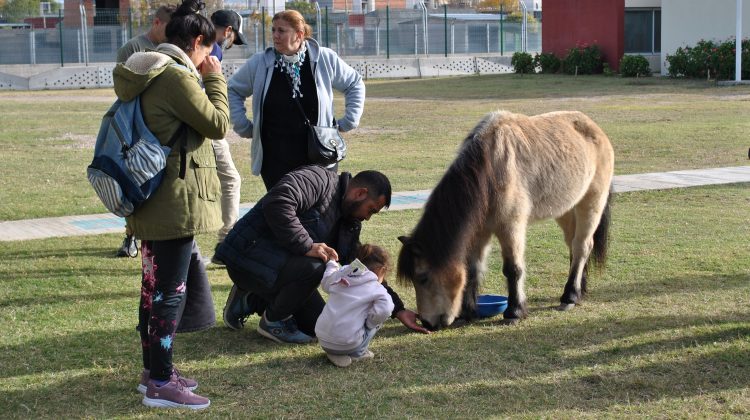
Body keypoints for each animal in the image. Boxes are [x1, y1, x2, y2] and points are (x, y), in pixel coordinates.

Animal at [396, 109, 612, 332]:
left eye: (423, 278)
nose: (427, 323)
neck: (490, 169)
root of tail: (595, 129)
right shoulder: (480, 231)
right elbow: (472, 270)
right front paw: (468, 313)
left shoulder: (510, 227)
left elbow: (513, 269)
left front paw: (514, 312)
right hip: (566, 209)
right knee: (573, 247)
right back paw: (580, 289)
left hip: (591, 203)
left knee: (581, 247)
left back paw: (570, 296)